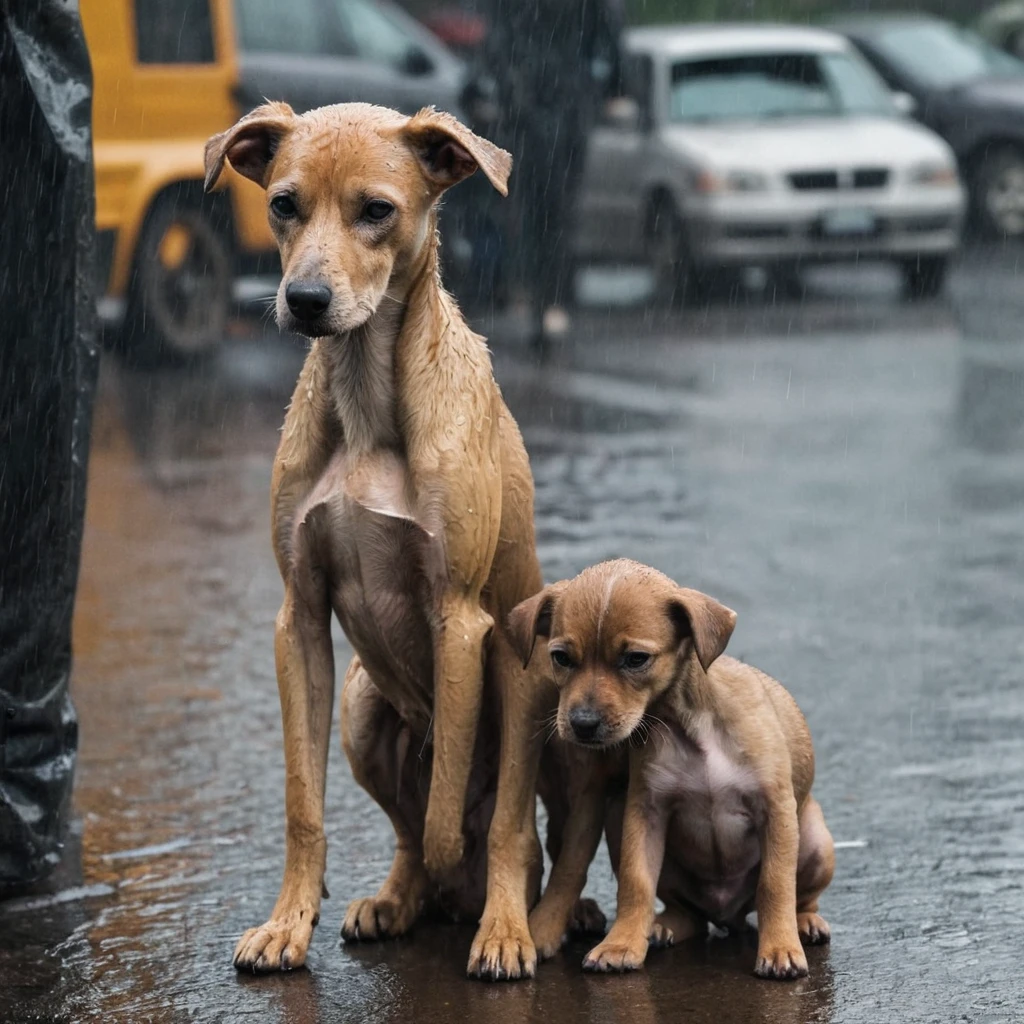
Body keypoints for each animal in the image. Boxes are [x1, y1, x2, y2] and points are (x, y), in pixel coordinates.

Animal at [204, 101, 561, 974]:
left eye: (376, 210)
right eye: (284, 204)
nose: (303, 299)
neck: (367, 394)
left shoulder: (460, 619)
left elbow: (450, 818)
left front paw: (477, 905)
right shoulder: (298, 618)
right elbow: (305, 805)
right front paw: (288, 922)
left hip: (525, 683)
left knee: (506, 830)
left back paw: (502, 921)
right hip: (364, 706)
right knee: (407, 827)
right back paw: (400, 900)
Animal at [507, 565, 835, 978]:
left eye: (635, 659)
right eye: (561, 658)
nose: (582, 724)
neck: (688, 725)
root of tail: (727, 916)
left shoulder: (775, 811)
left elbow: (775, 884)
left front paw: (779, 949)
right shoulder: (644, 812)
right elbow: (634, 881)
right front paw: (620, 944)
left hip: (815, 840)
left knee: (801, 897)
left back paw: (805, 923)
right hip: (621, 823)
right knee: (688, 914)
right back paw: (661, 928)